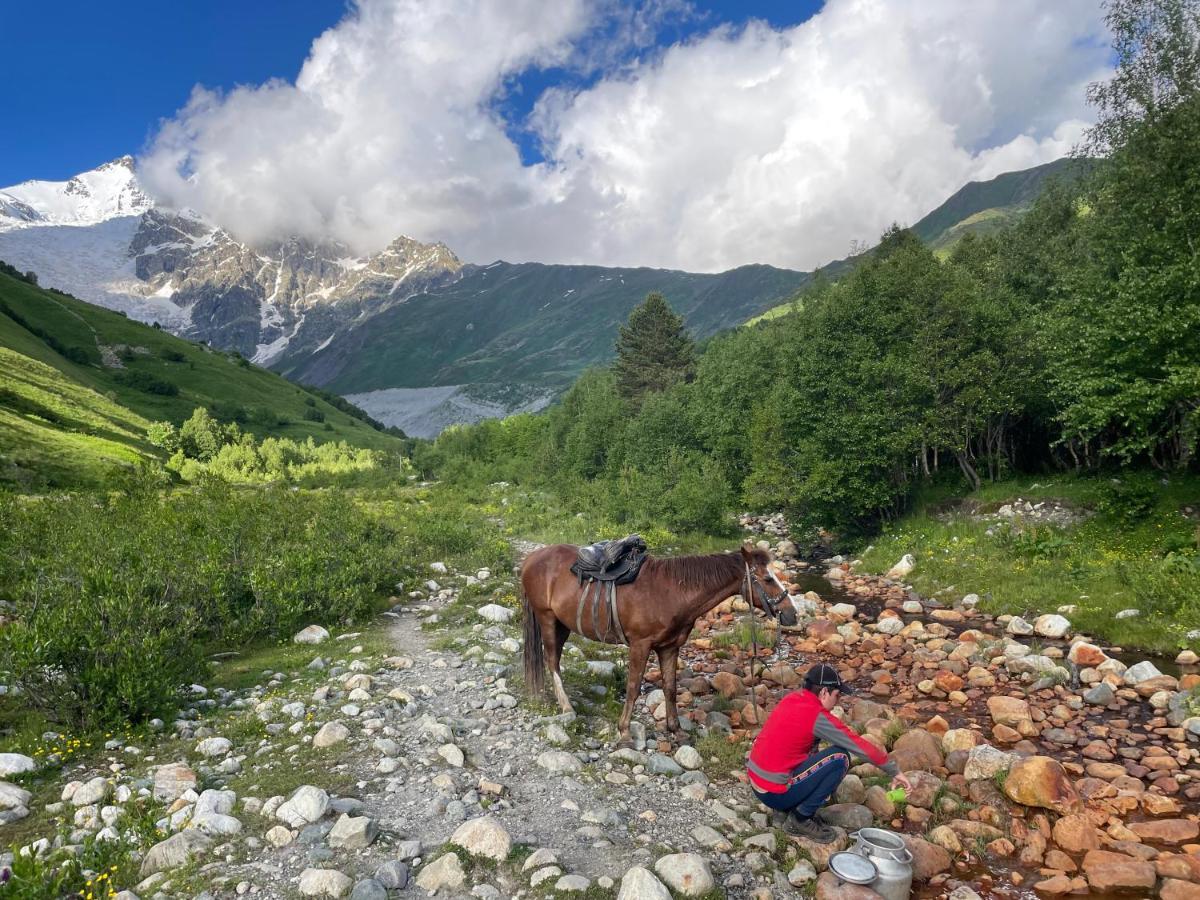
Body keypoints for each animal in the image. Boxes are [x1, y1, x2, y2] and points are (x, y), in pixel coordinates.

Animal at [518, 542, 792, 739]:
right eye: (768, 579)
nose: (792, 613)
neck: (672, 593)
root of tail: (532, 558)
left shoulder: (669, 647)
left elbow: (670, 688)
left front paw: (676, 730)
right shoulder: (640, 645)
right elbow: (632, 686)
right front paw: (624, 731)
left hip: (563, 624)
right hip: (547, 619)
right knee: (552, 660)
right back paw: (566, 707)